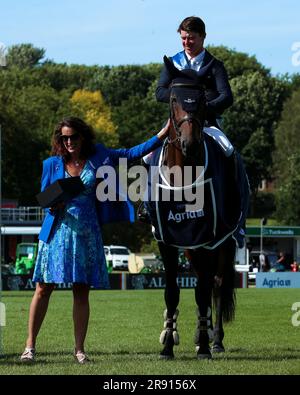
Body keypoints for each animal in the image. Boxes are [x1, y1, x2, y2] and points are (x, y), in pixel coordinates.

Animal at [144, 57, 250, 360]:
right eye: (173, 98)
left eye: (202, 99)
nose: (189, 143)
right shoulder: (167, 240)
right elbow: (171, 290)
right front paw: (167, 344)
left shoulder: (207, 238)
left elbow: (202, 291)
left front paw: (203, 345)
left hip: (224, 241)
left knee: (216, 283)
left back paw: (215, 340)